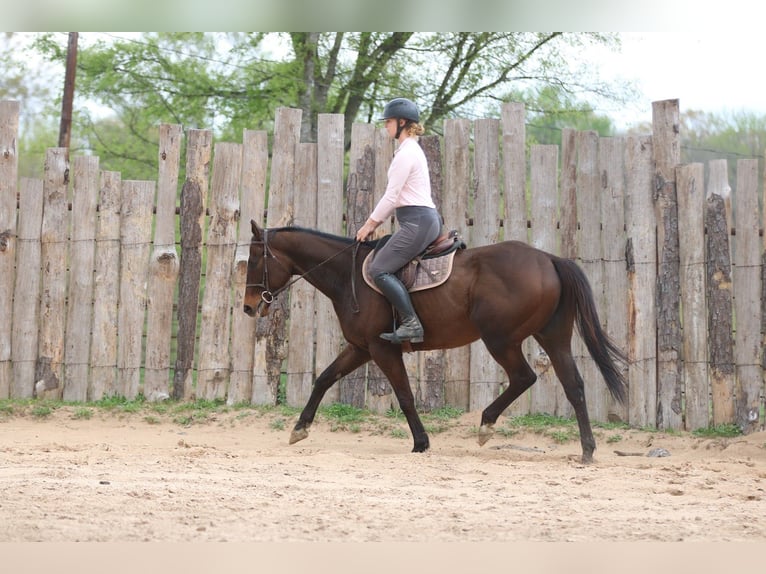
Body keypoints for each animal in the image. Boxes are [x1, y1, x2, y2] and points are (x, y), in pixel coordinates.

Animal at [243, 220, 628, 463]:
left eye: (255, 259)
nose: (248, 306)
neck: (347, 276)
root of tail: (549, 258)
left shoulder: (382, 348)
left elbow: (405, 396)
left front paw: (421, 443)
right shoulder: (361, 348)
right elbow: (324, 378)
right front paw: (300, 429)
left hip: (501, 340)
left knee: (524, 377)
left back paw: (486, 424)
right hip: (552, 338)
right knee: (574, 385)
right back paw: (587, 450)